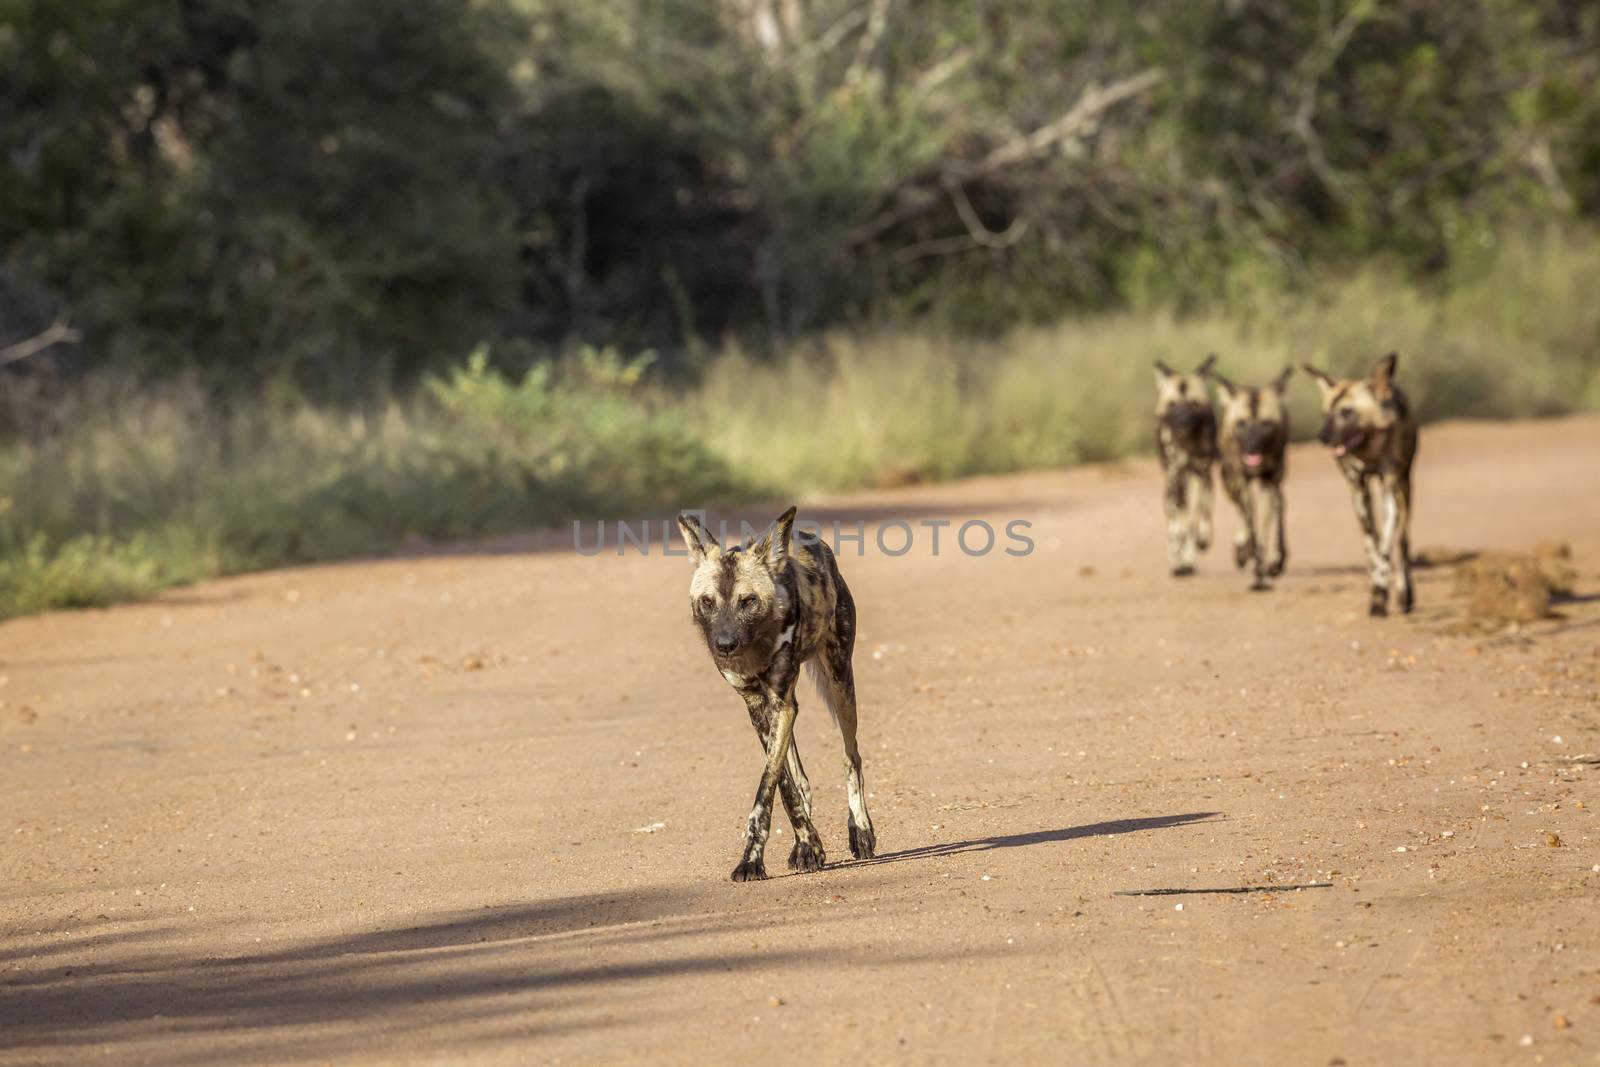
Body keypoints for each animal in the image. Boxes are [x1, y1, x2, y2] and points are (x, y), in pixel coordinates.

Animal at [672, 508, 876, 883]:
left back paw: (861, 830)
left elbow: (767, 785)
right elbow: (783, 786)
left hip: (840, 682)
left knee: (851, 756)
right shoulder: (759, 707)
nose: (724, 645)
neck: (756, 644)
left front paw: (755, 860)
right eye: (707, 602)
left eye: (748, 601)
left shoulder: (782, 703)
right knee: (801, 777)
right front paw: (806, 846)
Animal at [1152, 356, 1209, 575]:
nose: (1182, 422)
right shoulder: (1176, 477)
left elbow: (1199, 519)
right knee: (1176, 520)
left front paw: (1201, 542)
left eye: (1193, 404)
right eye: (1172, 405)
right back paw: (1178, 559)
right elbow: (1179, 526)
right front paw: (1179, 558)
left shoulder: (1204, 475)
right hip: (1173, 486)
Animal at [1203, 363, 1292, 588]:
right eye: (1241, 423)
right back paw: (1244, 551)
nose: (1252, 447)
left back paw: (1276, 558)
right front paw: (1253, 561)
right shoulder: (1240, 481)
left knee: (1280, 503)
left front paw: (1263, 572)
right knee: (1243, 510)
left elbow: (1262, 530)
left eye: (1266, 424)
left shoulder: (1269, 481)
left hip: (1275, 480)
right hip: (1231, 483)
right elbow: (1250, 521)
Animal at [1305, 351, 1420, 617]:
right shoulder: (1358, 491)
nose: (1322, 437)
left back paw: (1404, 594)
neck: (1369, 450)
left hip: (1404, 488)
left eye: (1347, 412)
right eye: (1325, 415)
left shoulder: (1390, 489)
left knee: (1402, 541)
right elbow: (1373, 547)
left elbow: (1386, 549)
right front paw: (1377, 596)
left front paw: (1381, 597)